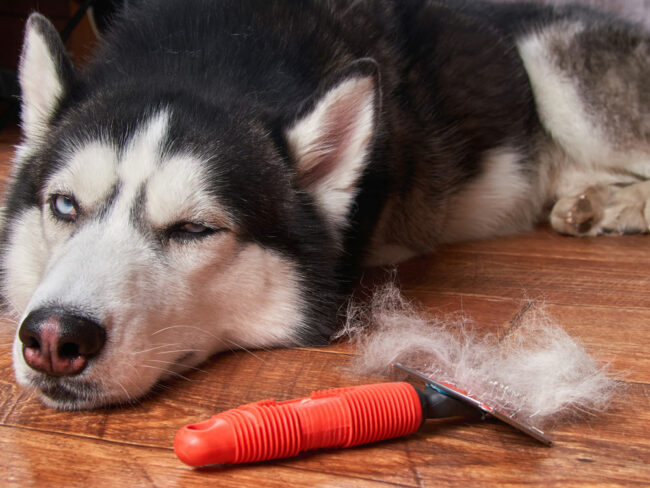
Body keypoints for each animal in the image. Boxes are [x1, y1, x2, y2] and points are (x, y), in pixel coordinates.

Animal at [1, 0, 648, 410]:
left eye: (193, 229)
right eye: (64, 205)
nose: (55, 339)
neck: (208, 54)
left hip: (557, 75)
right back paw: (592, 203)